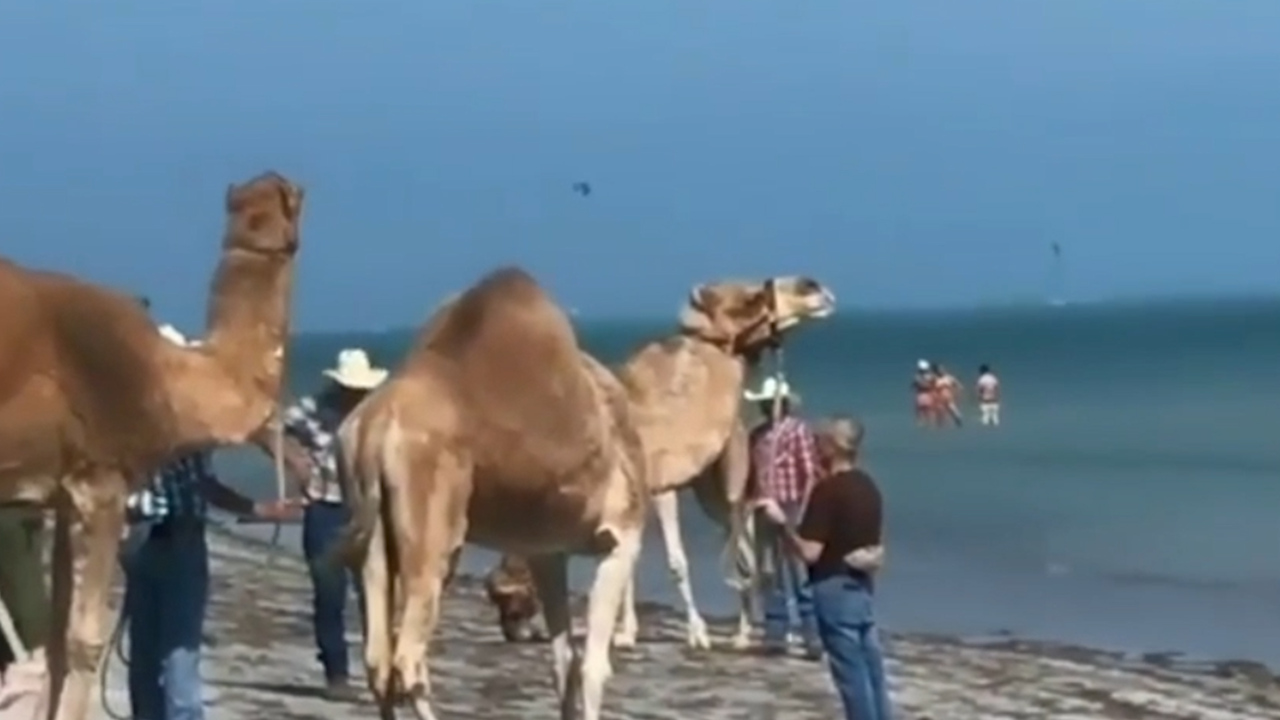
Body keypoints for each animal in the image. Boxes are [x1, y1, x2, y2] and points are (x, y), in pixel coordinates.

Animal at [0, 171, 303, 720]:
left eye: (265, 201)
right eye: (294, 197)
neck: (166, 377)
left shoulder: (62, 491)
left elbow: (55, 640)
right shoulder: (102, 482)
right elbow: (83, 642)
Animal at [336, 266, 650, 720]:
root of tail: (375, 430)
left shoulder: (546, 552)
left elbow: (563, 662)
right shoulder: (623, 534)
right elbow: (594, 667)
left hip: (372, 534)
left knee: (378, 659)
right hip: (433, 532)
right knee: (408, 657)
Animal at [483, 276, 836, 650]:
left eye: (508, 599)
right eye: (751, 299)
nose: (813, 287)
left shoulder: (655, 487)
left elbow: (674, 561)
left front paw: (696, 633)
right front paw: (625, 633)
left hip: (728, 487)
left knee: (745, 549)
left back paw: (745, 634)